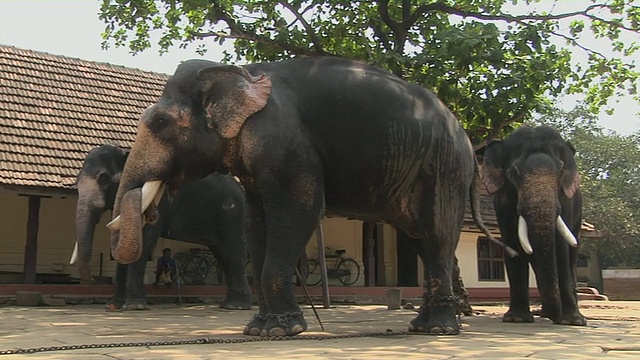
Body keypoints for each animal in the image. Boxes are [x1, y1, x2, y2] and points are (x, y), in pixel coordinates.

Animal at [72, 143, 252, 310]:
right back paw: (227, 304)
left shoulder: (157, 199)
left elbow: (145, 241)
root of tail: (241, 190)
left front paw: (134, 306)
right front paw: (114, 305)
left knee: (232, 253)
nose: (91, 281)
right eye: (77, 180)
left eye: (103, 178)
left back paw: (236, 306)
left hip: (231, 215)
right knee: (222, 255)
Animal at [105, 57, 496, 336]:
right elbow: (256, 220)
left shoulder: (284, 142)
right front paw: (260, 329)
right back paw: (422, 326)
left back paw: (439, 329)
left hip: (444, 168)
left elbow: (299, 210)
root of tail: (466, 136)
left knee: (437, 234)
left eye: (159, 123)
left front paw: (279, 330)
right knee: (419, 239)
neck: (242, 75)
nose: (152, 211)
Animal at [480, 126, 584, 326]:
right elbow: (512, 241)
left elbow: (560, 247)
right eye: (513, 173)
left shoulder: (566, 201)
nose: (555, 317)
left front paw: (571, 321)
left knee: (572, 255)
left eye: (560, 172)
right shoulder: (501, 201)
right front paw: (517, 318)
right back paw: (544, 313)